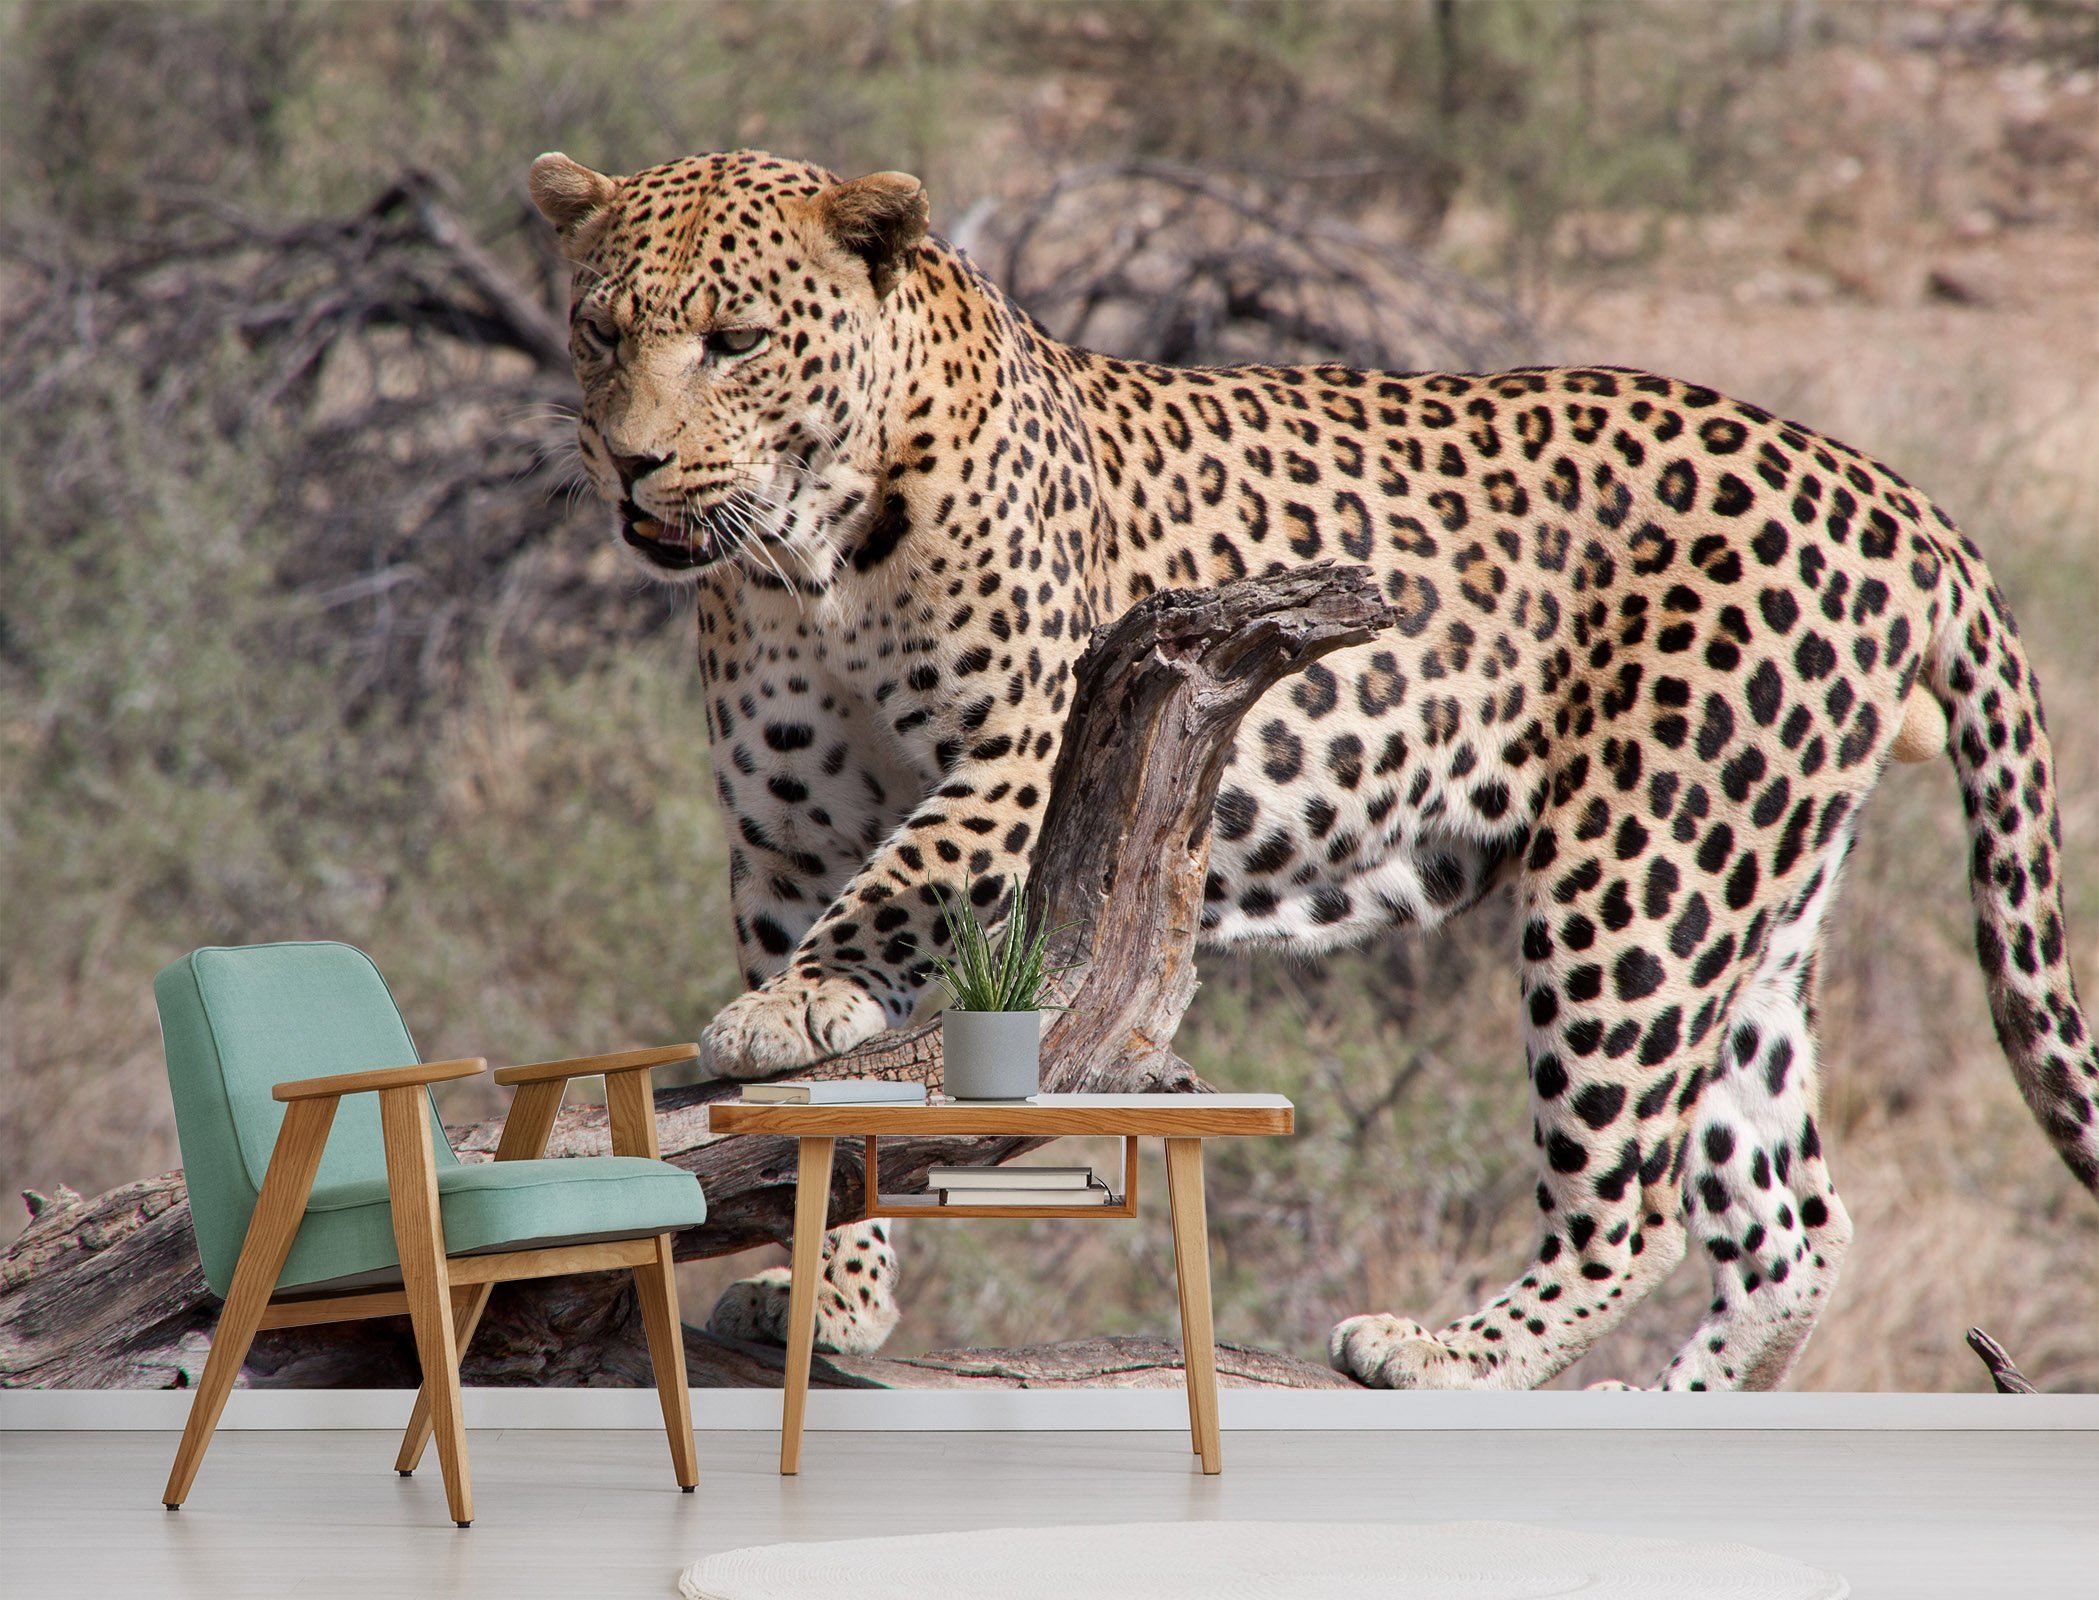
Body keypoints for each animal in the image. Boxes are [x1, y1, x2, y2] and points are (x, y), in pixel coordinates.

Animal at [529, 147, 2098, 1390]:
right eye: (598, 331)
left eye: (735, 340)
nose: (630, 463)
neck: (806, 560)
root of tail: (1888, 488)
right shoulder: (783, 837)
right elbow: (817, 1125)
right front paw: (829, 1293)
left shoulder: (1030, 742)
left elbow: (903, 882)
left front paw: (787, 1008)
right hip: (1752, 904)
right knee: (1790, 1228)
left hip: (1640, 879)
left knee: (1639, 1202)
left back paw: (1446, 1352)